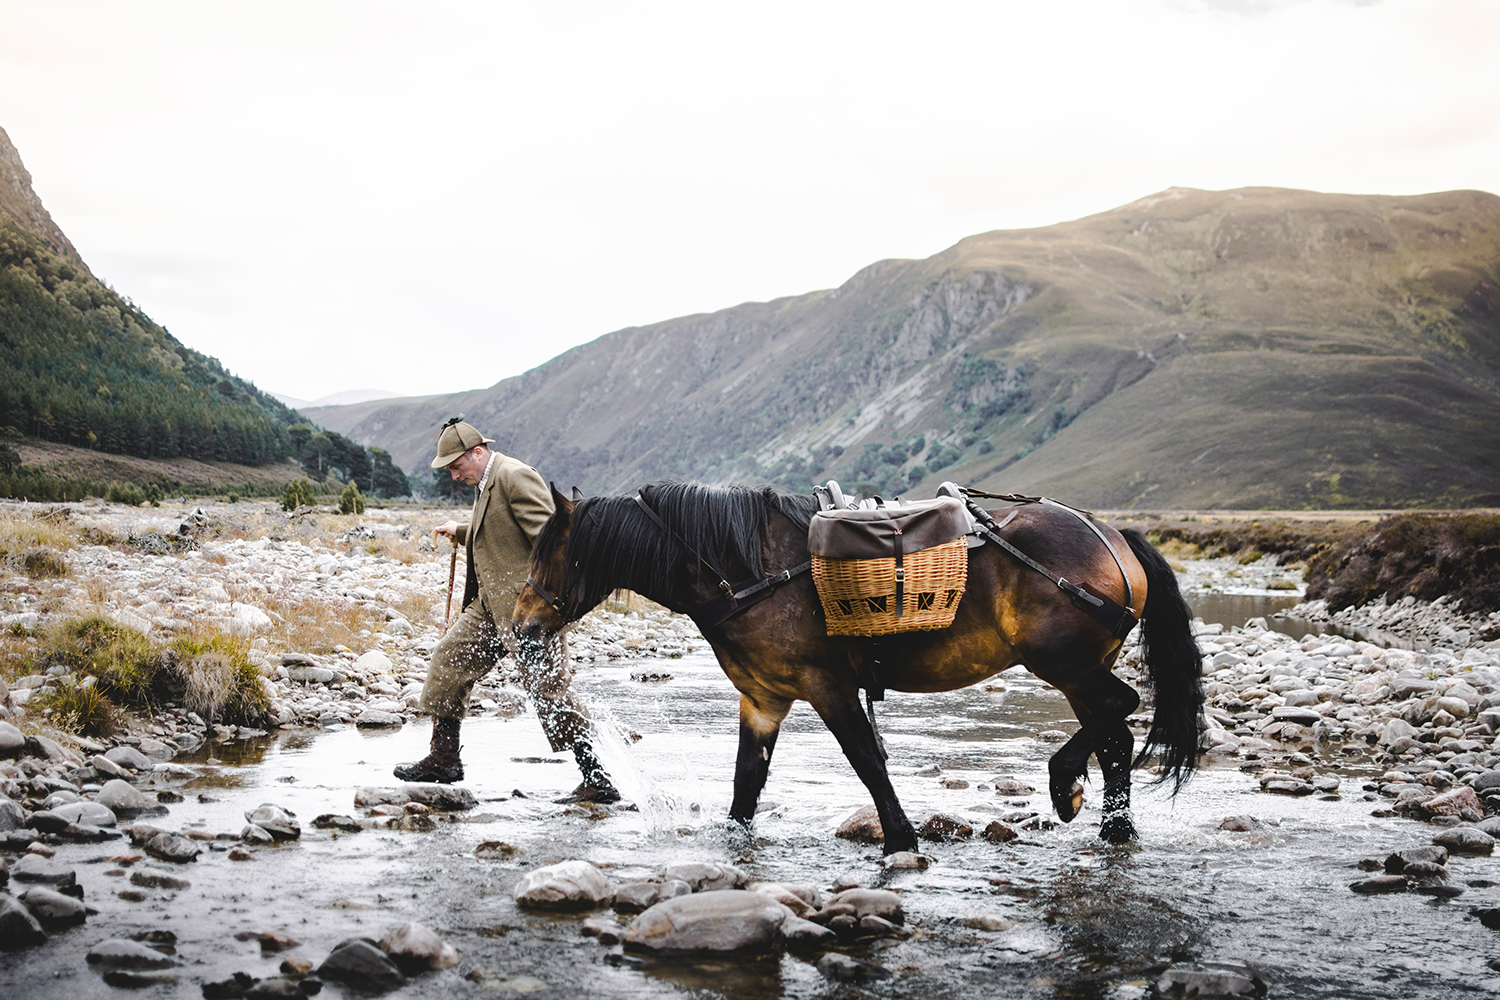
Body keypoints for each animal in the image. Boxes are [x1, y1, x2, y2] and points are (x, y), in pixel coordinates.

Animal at [513, 481, 1202, 853]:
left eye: (551, 552)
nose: (520, 628)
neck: (749, 571)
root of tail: (1112, 535)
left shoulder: (828, 687)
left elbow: (866, 760)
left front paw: (900, 837)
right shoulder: (763, 699)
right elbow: (746, 784)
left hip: (1065, 663)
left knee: (1119, 711)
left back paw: (1066, 787)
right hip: (1079, 667)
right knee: (1114, 737)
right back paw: (1113, 827)